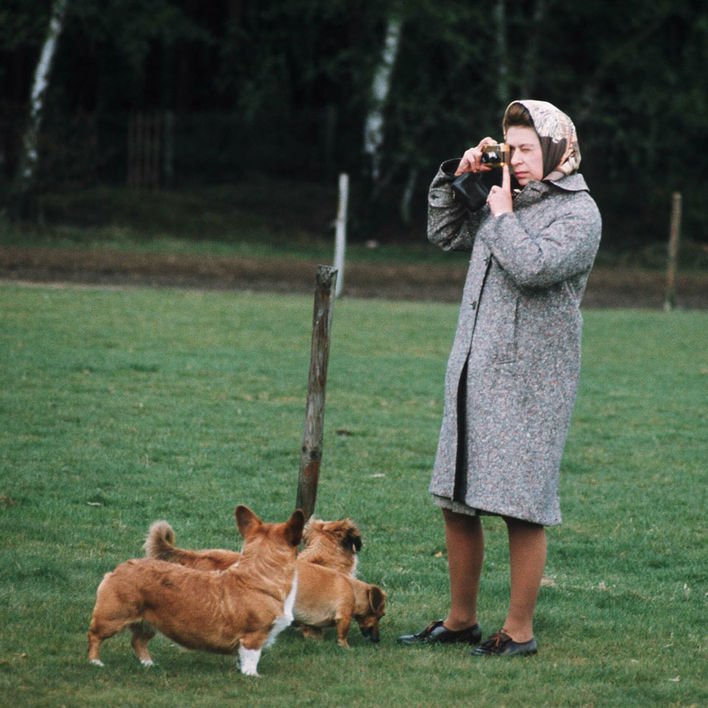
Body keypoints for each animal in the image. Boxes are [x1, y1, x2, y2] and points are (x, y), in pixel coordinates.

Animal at [86, 506, 304, 676]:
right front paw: (252, 676)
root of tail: (118, 569)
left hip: (149, 623)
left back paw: (149, 664)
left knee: (137, 641)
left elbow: (240, 658)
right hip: (112, 618)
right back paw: (95, 662)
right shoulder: (253, 636)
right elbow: (252, 658)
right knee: (94, 636)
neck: (259, 576)